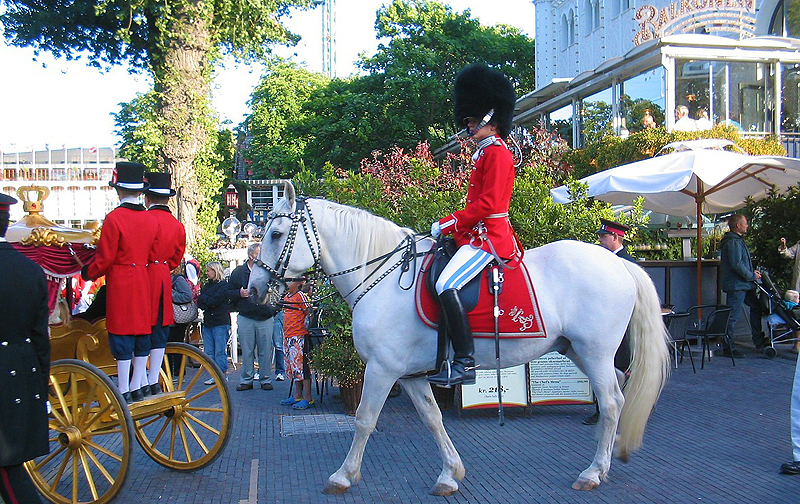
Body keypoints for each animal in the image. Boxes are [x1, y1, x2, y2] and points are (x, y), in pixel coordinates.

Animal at [250, 183, 668, 494]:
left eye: (276, 234)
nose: (252, 290)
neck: (383, 275)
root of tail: (619, 263)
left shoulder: (382, 370)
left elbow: (365, 419)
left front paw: (343, 475)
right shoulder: (411, 375)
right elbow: (433, 418)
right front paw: (451, 474)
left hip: (594, 353)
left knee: (611, 402)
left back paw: (593, 472)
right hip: (580, 352)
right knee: (617, 391)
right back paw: (607, 461)